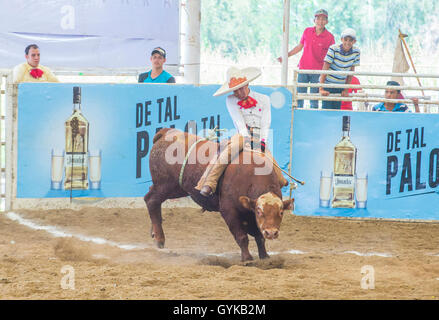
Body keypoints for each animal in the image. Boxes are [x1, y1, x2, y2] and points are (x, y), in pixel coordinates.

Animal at [146, 127, 294, 260]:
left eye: (281, 212)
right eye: (259, 211)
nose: (271, 233)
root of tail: (165, 133)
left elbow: (259, 236)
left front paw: (264, 256)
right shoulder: (229, 211)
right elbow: (242, 236)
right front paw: (247, 258)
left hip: (176, 188)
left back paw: (154, 233)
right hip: (165, 185)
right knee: (151, 201)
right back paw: (159, 238)